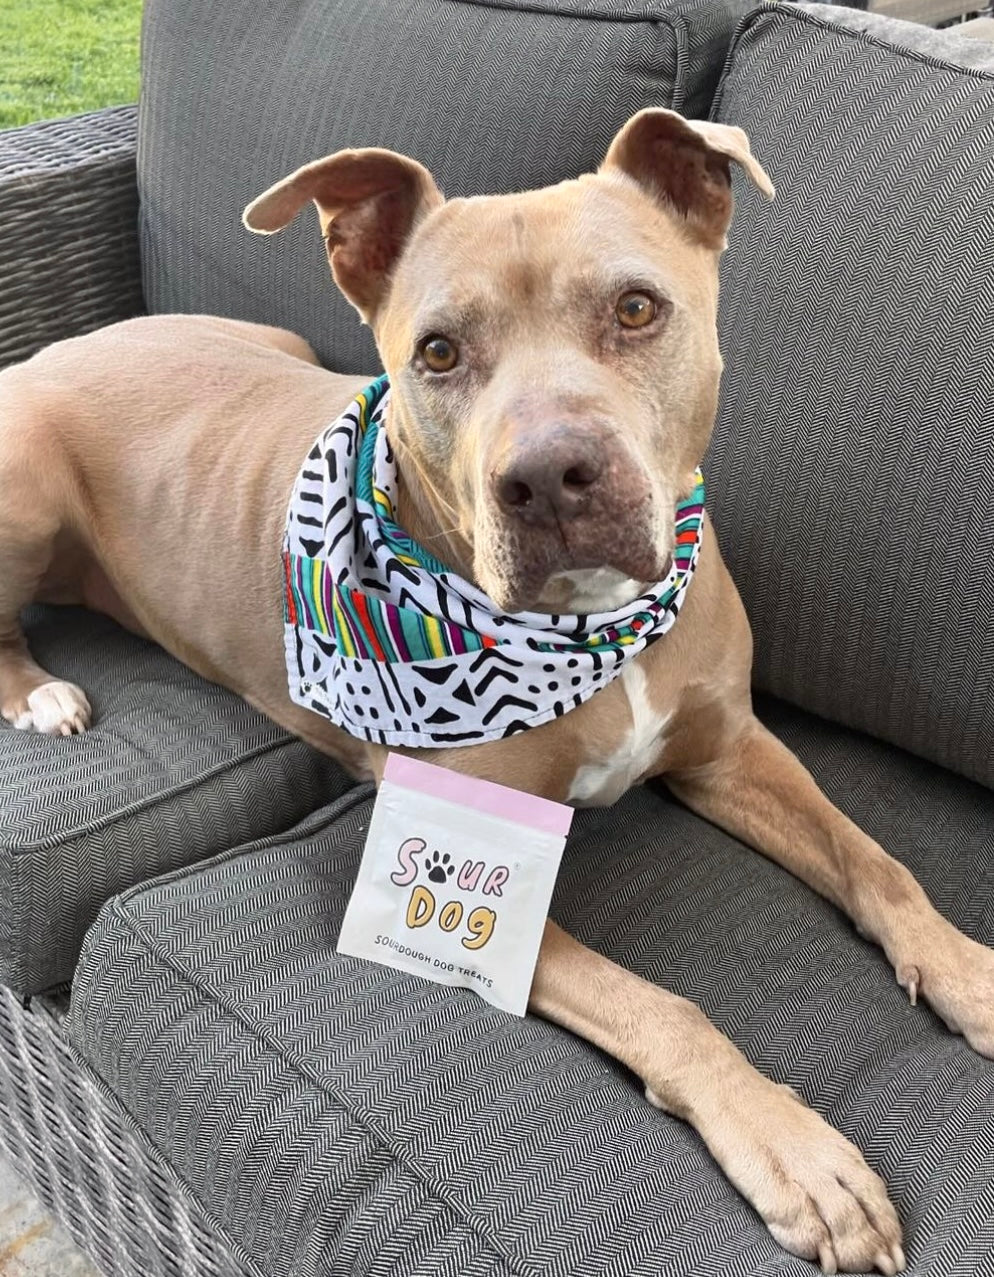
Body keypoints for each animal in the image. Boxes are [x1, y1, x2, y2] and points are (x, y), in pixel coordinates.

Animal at [1, 107, 991, 1266]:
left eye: (636, 307)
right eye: (437, 350)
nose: (550, 476)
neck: (591, 625)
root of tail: (62, 346)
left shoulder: (732, 749)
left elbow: (877, 862)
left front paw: (969, 972)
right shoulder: (474, 877)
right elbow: (665, 1010)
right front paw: (798, 1154)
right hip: (25, 484)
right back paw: (40, 693)